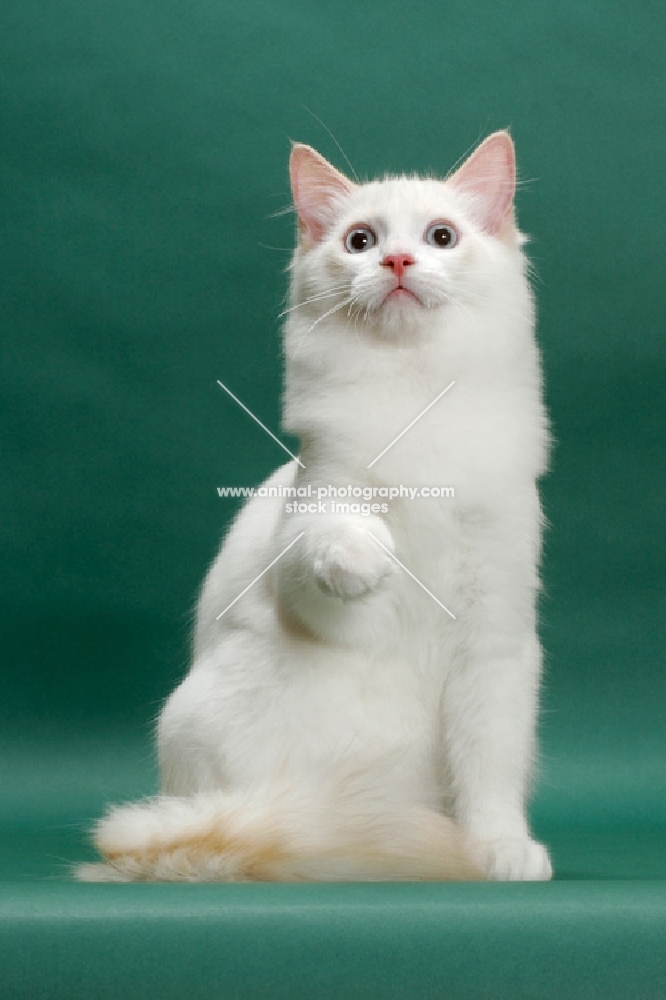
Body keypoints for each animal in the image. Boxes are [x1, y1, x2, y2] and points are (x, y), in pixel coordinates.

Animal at [79, 131, 548, 884]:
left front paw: (498, 848)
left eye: (441, 237)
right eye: (360, 241)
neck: (414, 394)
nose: (397, 260)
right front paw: (371, 556)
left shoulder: (496, 638)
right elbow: (334, 540)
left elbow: (490, 771)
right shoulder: (318, 513)